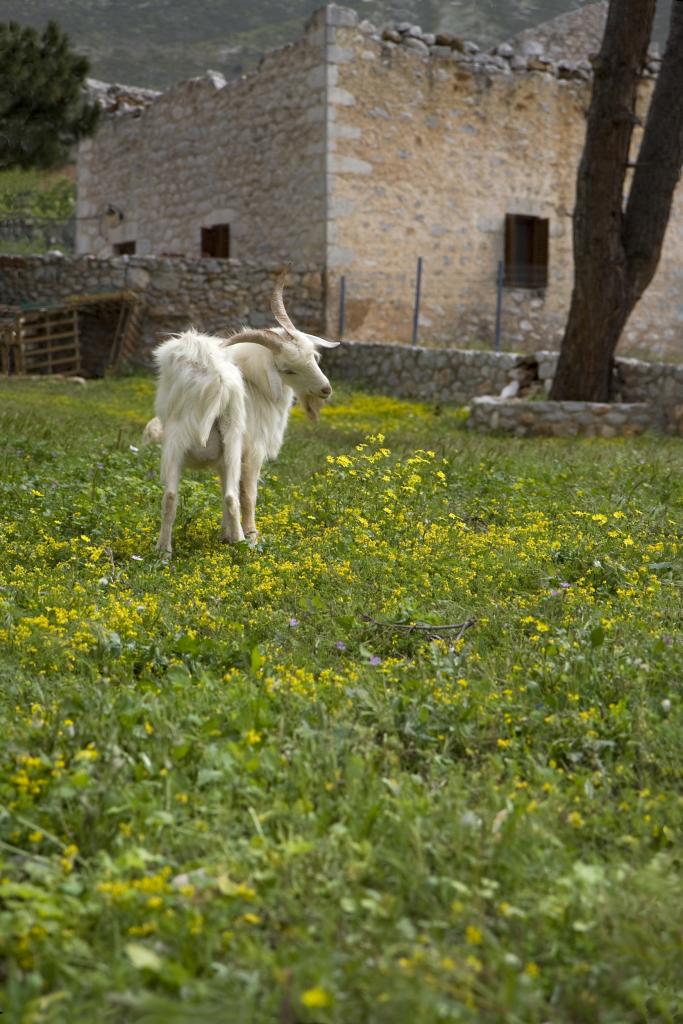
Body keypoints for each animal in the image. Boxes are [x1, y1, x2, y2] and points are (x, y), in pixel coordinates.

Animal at [143, 272, 337, 557]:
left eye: (313, 356)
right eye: (288, 370)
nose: (325, 389)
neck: (254, 382)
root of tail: (214, 379)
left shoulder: (222, 459)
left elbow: (225, 484)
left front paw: (224, 534)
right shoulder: (252, 450)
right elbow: (247, 494)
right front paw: (250, 536)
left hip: (175, 440)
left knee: (170, 496)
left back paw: (163, 552)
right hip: (232, 436)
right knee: (232, 496)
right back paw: (242, 543)